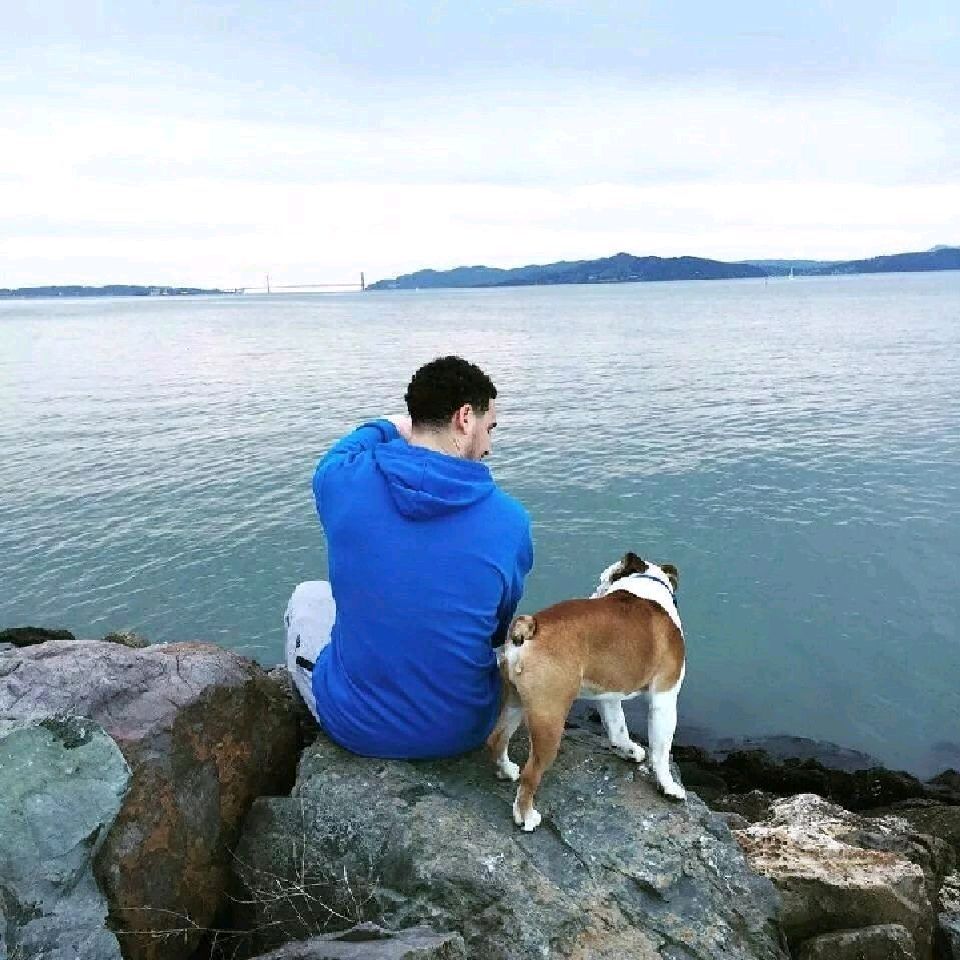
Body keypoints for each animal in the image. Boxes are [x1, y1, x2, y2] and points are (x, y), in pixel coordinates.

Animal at [487, 551, 686, 831]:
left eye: (603, 580)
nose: (596, 591)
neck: (646, 583)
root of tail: (531, 626)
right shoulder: (665, 698)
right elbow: (660, 750)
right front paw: (669, 787)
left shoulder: (608, 696)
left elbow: (618, 727)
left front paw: (627, 749)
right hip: (550, 718)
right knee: (531, 772)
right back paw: (525, 815)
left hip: (516, 701)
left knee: (496, 739)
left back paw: (506, 771)